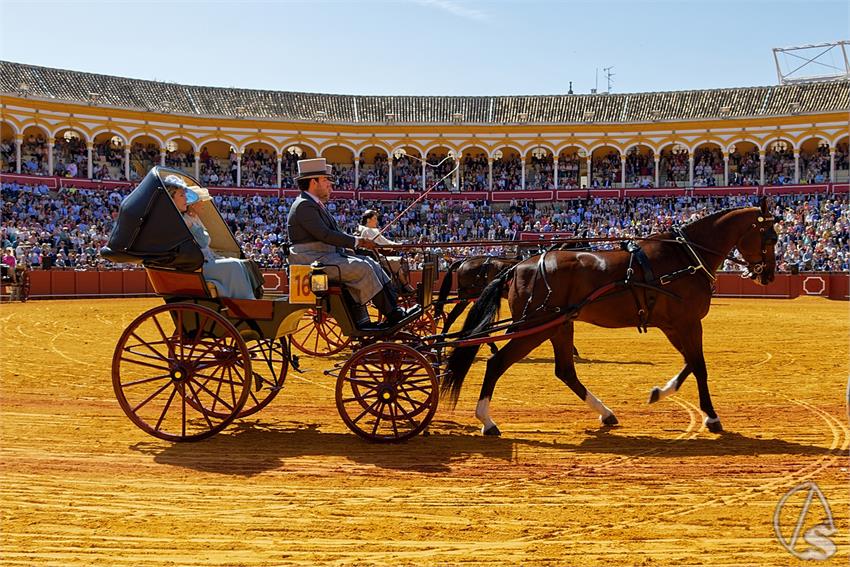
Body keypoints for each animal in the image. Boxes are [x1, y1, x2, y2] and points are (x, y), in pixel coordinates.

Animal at [444, 202, 776, 438]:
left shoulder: (675, 325)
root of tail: (517, 267)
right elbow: (699, 366)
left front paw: (660, 392)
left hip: (558, 325)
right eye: (770, 236)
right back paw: (487, 420)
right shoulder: (688, 323)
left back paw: (605, 414)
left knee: (565, 371)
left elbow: (690, 365)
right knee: (497, 363)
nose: (769, 275)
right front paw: (712, 416)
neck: (685, 257)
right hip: (532, 327)